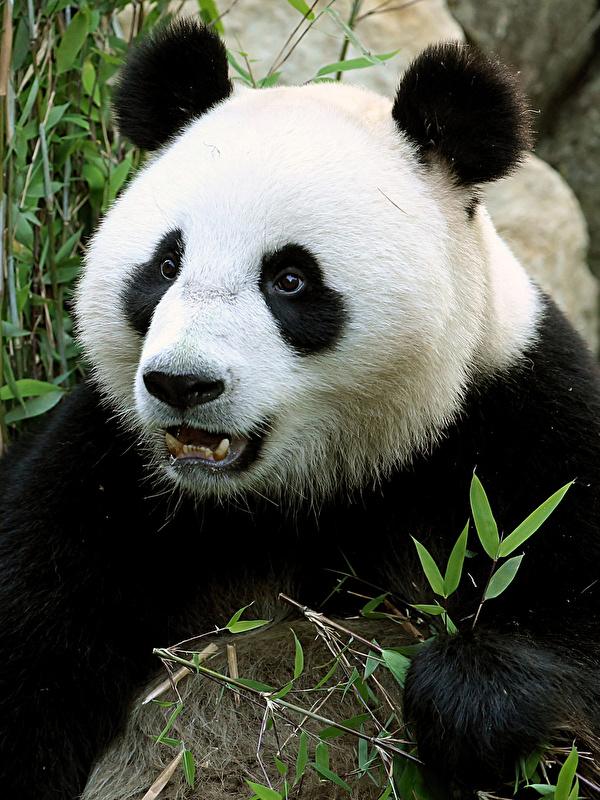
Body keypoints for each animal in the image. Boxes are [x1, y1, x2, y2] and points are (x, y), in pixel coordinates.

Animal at [2, 17, 600, 800]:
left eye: (289, 279)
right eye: (165, 266)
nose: (182, 384)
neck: (300, 490)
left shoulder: (519, 430)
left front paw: (467, 696)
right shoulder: (104, 477)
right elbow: (34, 660)